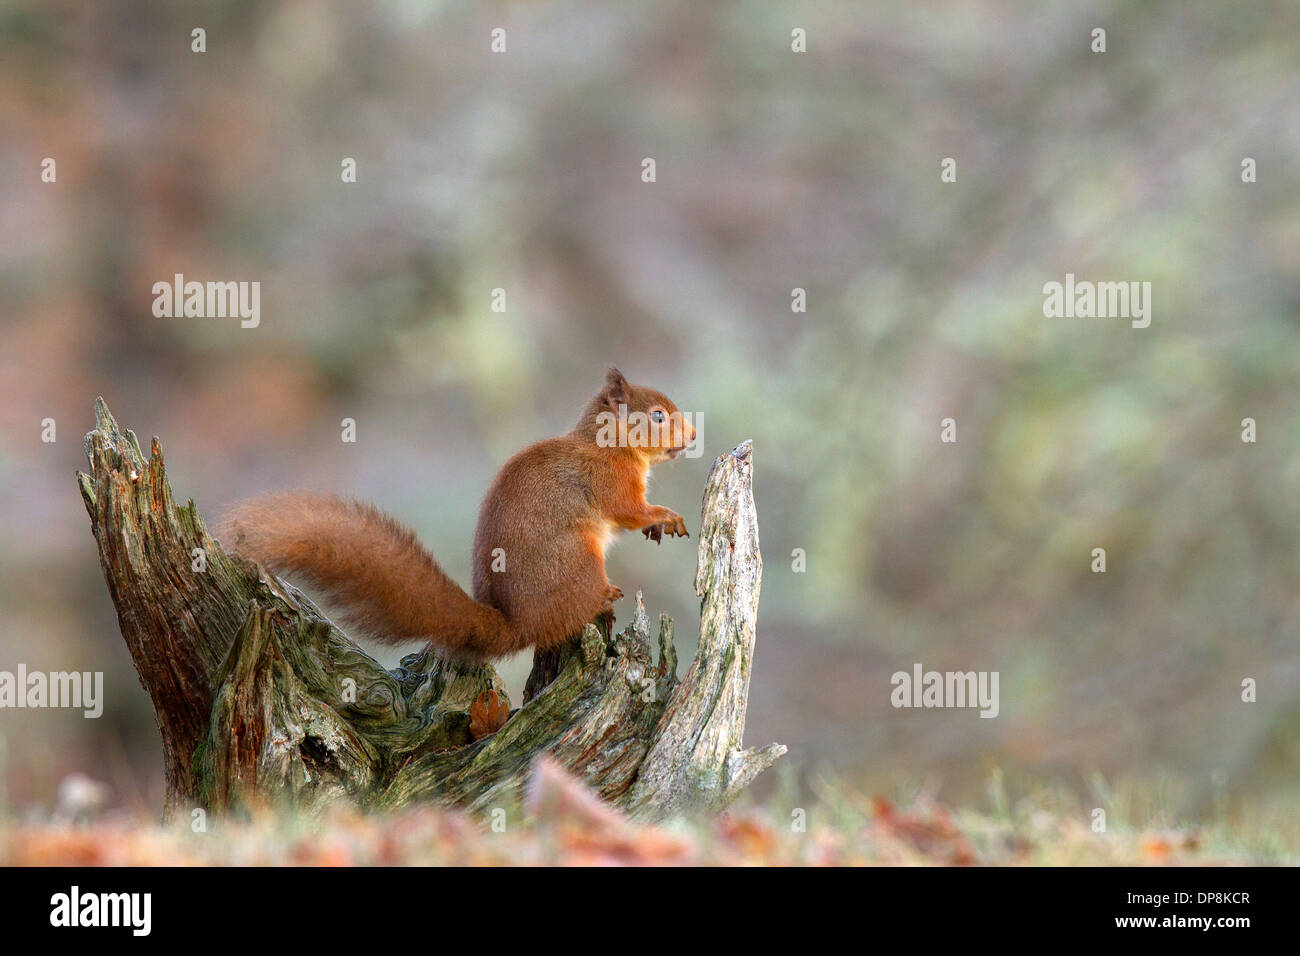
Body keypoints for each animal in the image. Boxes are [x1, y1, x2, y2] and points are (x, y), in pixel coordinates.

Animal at [220, 369, 702, 660]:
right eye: (658, 417)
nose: (695, 434)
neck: (608, 443)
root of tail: (518, 626)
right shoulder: (607, 479)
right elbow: (627, 511)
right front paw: (665, 516)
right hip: (578, 561)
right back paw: (602, 599)